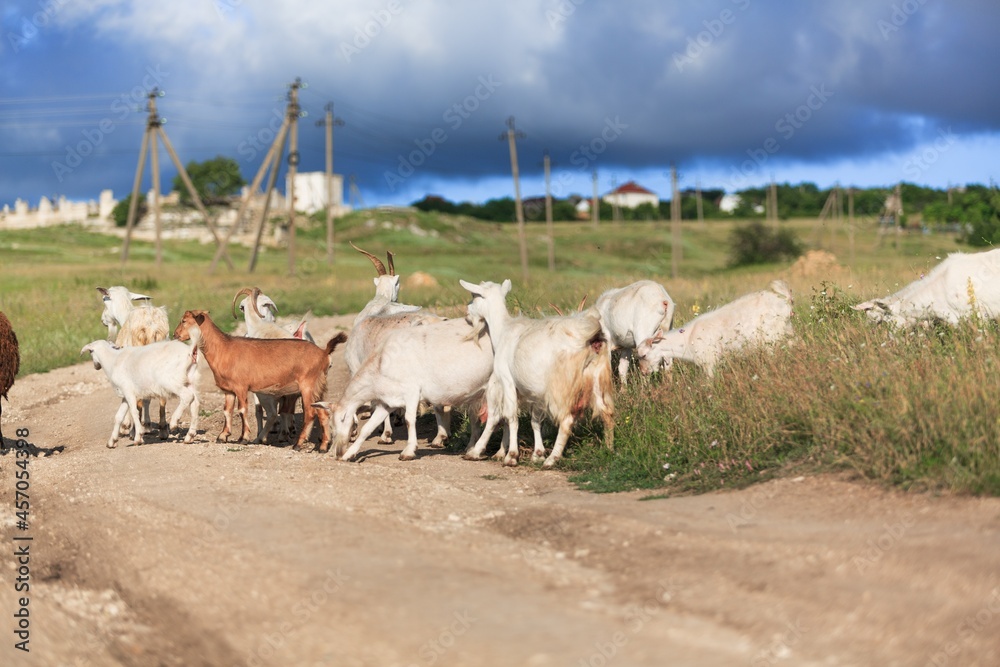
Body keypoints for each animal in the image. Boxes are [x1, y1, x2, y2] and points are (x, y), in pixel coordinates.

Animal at [170, 312, 346, 448]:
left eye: (184, 320)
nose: (175, 334)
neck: (224, 349)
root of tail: (324, 353)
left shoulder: (241, 387)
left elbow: (242, 410)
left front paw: (244, 438)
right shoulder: (228, 390)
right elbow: (227, 411)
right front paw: (223, 436)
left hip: (308, 385)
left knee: (310, 413)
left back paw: (298, 444)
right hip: (318, 388)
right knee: (322, 412)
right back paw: (323, 446)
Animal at [318, 316, 494, 462]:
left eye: (343, 419)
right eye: (331, 426)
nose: (338, 451)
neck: (381, 363)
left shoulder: (411, 392)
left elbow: (409, 420)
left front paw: (409, 451)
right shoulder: (387, 401)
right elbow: (368, 428)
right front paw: (349, 454)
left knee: (494, 418)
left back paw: (479, 452)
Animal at [458, 280, 612, 472]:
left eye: (474, 296)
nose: (466, 313)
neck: (503, 330)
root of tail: (591, 335)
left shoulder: (507, 378)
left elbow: (510, 416)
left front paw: (510, 456)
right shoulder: (534, 391)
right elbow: (535, 420)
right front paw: (537, 454)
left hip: (561, 387)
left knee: (567, 421)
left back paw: (552, 459)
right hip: (599, 376)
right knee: (607, 412)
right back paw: (609, 449)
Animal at [636, 280, 792, 378]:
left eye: (643, 355)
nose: (643, 372)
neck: (687, 340)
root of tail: (784, 299)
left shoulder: (709, 361)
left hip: (772, 337)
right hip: (787, 331)